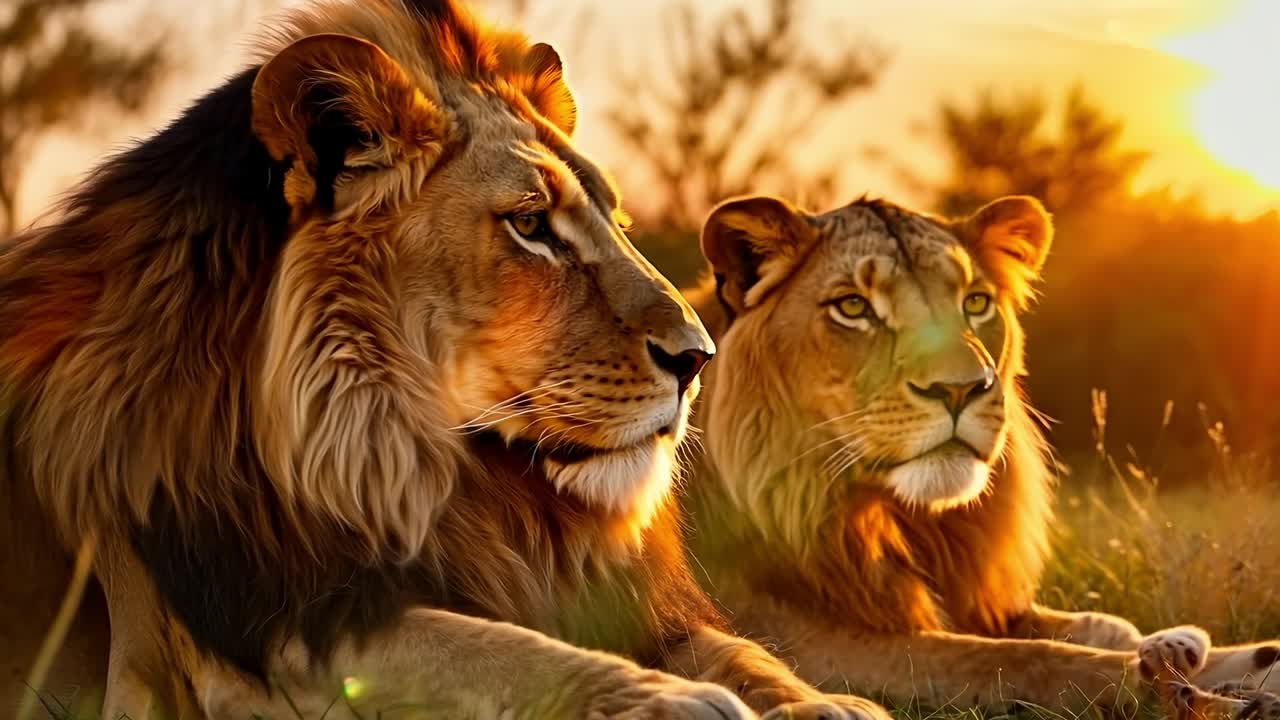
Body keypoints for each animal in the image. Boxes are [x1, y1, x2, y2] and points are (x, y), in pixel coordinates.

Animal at [0, 3, 892, 718]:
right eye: (530, 225)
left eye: (616, 220)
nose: (697, 357)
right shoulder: (250, 643)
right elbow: (491, 651)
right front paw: (663, 702)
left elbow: (743, 651)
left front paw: (825, 705)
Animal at [679, 193, 1280, 713]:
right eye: (852, 307)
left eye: (975, 302)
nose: (960, 389)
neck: (899, 520)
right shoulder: (800, 638)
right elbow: (1020, 660)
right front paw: (1201, 695)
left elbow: (1090, 627)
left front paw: (1213, 656)